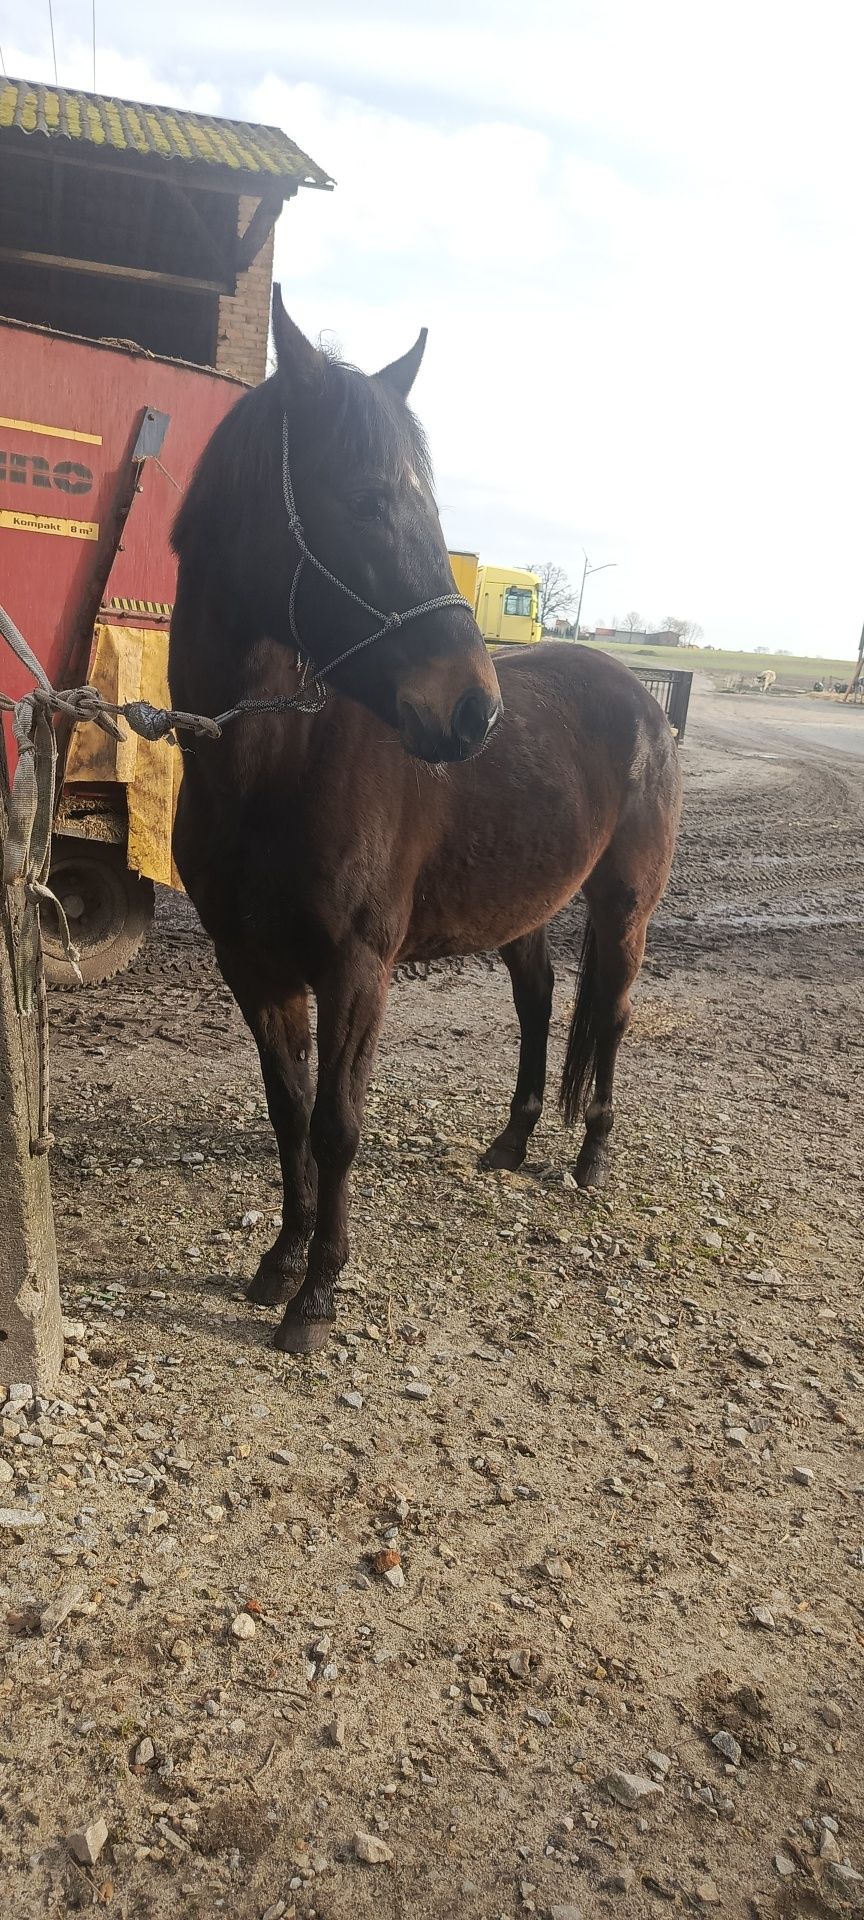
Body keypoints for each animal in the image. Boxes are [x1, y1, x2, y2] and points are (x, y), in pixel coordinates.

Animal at [168, 291, 683, 1359]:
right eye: (367, 499)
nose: (473, 712)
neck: (276, 767)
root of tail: (642, 698)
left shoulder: (357, 967)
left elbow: (338, 1123)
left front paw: (317, 1295)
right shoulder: (255, 966)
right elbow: (287, 1111)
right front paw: (278, 1262)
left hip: (626, 908)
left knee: (610, 1013)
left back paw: (589, 1160)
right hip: (525, 908)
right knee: (539, 1004)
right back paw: (514, 1140)